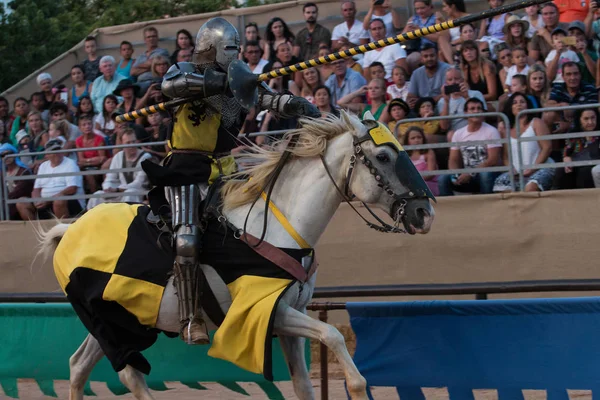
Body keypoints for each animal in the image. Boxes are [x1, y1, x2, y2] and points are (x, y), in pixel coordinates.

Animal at [38, 111, 436, 400]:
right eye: (383, 156)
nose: (424, 213)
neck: (274, 227)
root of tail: (69, 231)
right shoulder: (267, 312)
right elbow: (336, 339)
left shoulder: (289, 316)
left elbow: (305, 383)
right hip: (112, 323)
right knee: (129, 374)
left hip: (114, 319)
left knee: (79, 366)